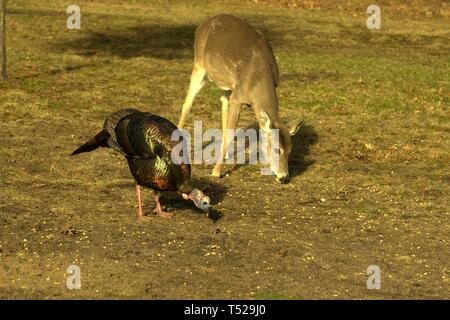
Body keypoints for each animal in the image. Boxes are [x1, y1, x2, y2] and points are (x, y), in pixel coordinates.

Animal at [177, 13, 302, 184]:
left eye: (290, 150)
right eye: (277, 149)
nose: (284, 177)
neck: (260, 81)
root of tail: (203, 24)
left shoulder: (237, 94)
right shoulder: (239, 96)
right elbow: (231, 133)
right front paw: (216, 172)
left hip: (226, 84)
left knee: (222, 103)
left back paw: (226, 154)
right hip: (199, 65)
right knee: (187, 104)